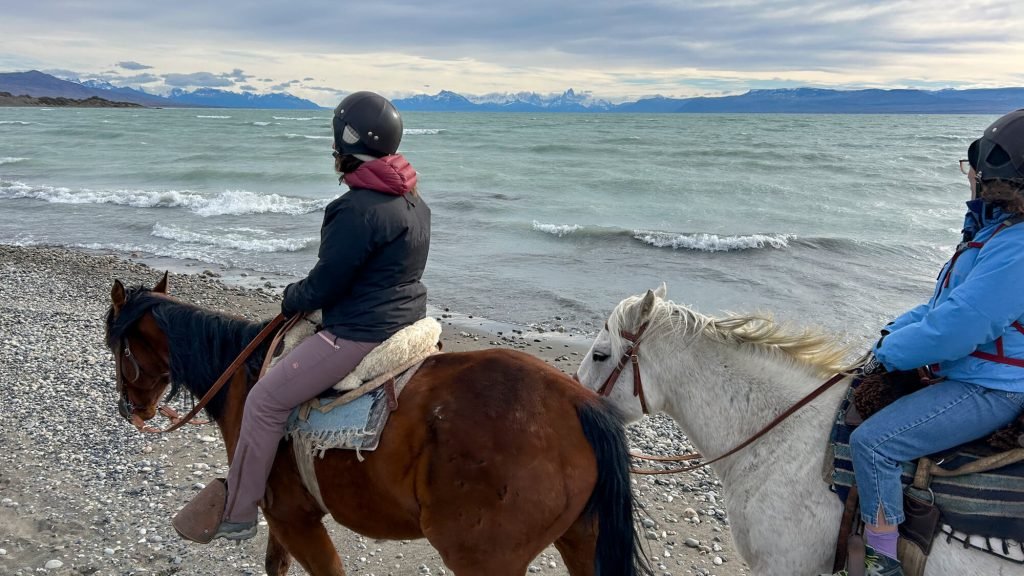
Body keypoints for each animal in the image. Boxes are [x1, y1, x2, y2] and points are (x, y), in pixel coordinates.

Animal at [101, 272, 647, 573]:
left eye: (117, 346)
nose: (132, 411)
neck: (245, 373)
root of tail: (579, 405)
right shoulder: (288, 516)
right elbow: (276, 564)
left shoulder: (292, 518)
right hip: (581, 541)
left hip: (488, 560)